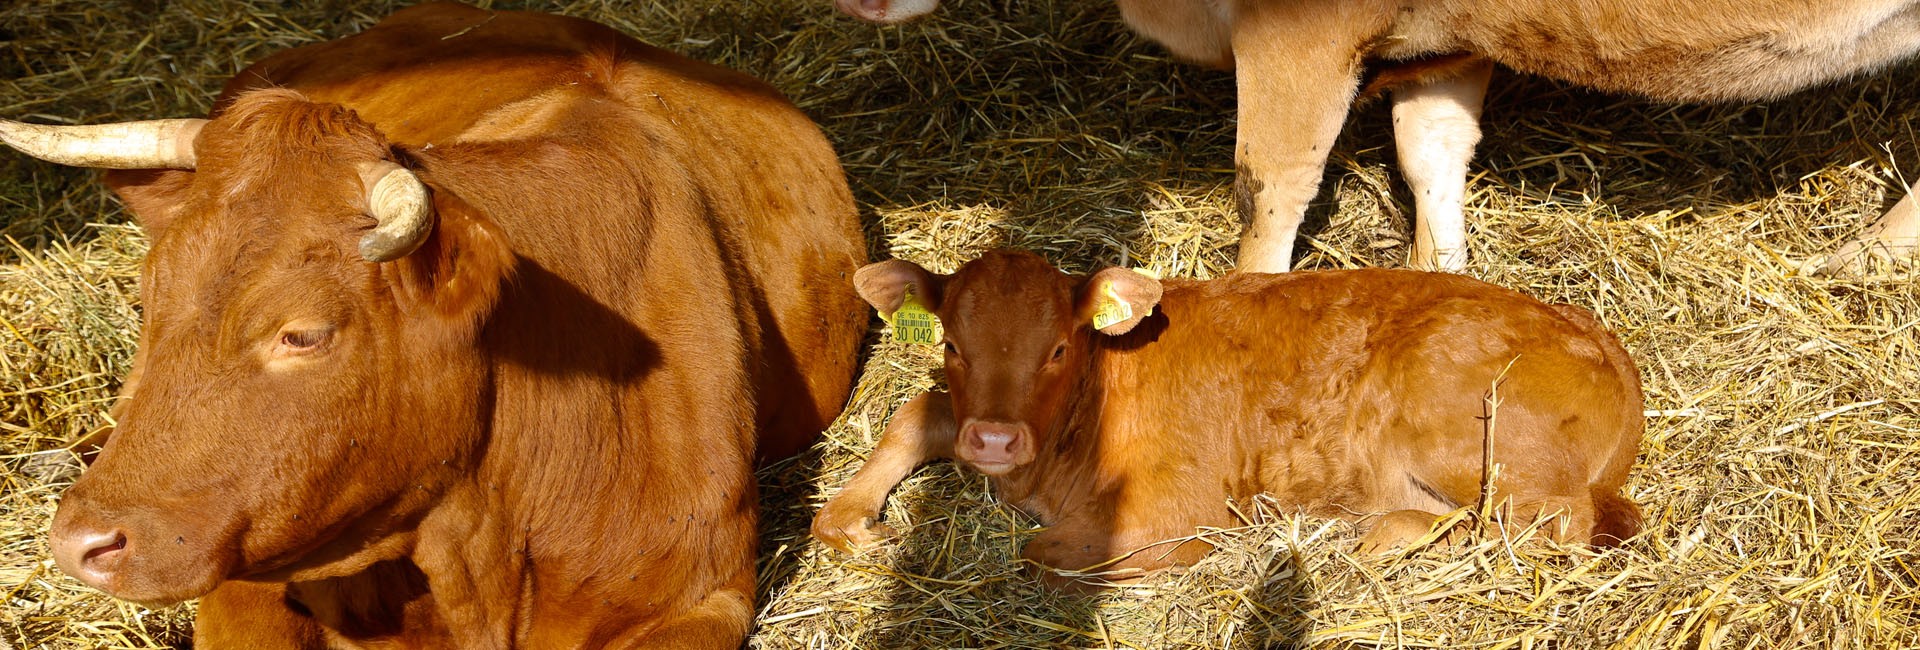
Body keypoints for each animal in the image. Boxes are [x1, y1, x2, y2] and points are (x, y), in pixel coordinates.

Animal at [817, 251, 1643, 586]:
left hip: (1469, 437)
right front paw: (849, 518)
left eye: (1057, 348)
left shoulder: (1175, 508)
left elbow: (1044, 555)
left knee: (1554, 524)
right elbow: (917, 413)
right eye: (951, 343)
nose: (993, 437)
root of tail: (1591, 329)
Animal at [833, 0, 1920, 274]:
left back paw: (1861, 258)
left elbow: (1268, 188)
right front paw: (1438, 275)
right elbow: (1430, 148)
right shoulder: (1440, 40)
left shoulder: (1296, 37)